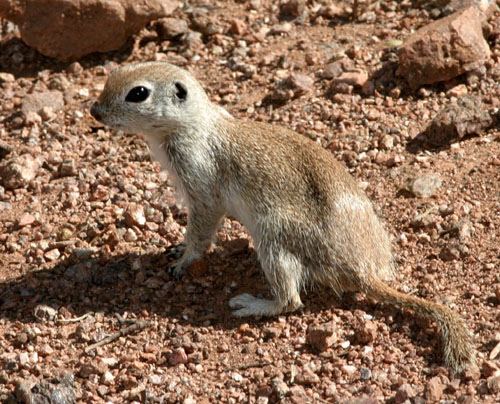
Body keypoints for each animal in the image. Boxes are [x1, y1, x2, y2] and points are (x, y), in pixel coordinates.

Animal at [91, 61, 476, 374]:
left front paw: (184, 261)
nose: (94, 111)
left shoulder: (201, 189)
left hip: (272, 236)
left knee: (291, 300)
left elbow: (201, 231)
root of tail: (362, 272)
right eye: (112, 74)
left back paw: (253, 304)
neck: (193, 123)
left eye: (138, 93)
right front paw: (175, 250)